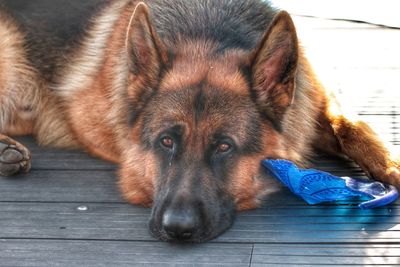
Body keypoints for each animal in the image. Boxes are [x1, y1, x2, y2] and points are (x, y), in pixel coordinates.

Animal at [0, 0, 400, 243]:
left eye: (224, 146)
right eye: (166, 142)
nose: (177, 230)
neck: (209, 30)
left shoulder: (316, 104)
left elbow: (354, 129)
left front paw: (391, 167)